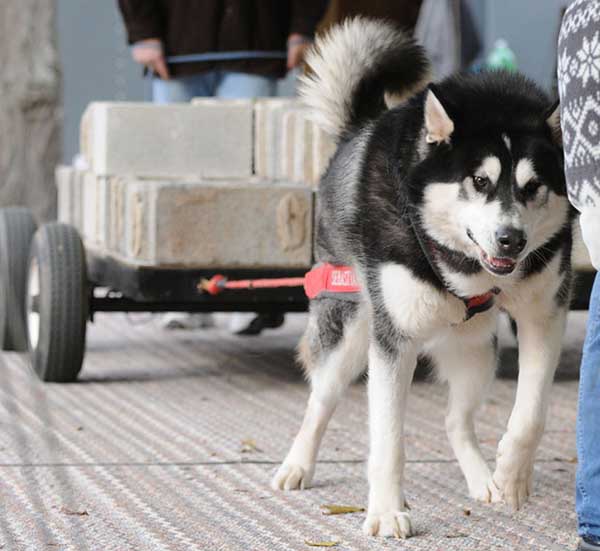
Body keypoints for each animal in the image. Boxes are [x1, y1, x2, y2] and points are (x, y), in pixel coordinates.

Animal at [272, 19, 576, 540]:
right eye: (479, 181)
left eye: (533, 186)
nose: (511, 240)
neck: (466, 269)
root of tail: (357, 129)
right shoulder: (394, 341)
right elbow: (388, 439)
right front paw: (386, 510)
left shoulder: (545, 315)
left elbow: (531, 413)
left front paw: (513, 475)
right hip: (350, 329)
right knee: (320, 400)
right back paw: (297, 464)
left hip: (477, 350)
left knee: (456, 419)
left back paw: (483, 478)